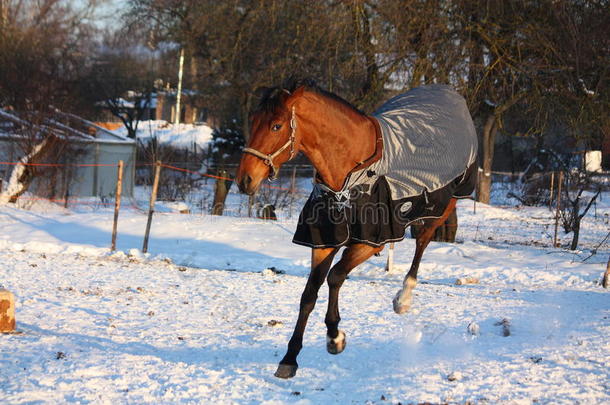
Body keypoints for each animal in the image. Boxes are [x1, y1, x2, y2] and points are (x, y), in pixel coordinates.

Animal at [233, 79, 476, 378]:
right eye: (254, 120)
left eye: (276, 126)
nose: (245, 180)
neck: (350, 172)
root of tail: (451, 95)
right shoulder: (324, 240)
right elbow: (309, 294)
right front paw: (290, 358)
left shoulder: (369, 241)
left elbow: (335, 276)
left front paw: (335, 337)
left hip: (442, 206)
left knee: (423, 242)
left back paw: (404, 298)